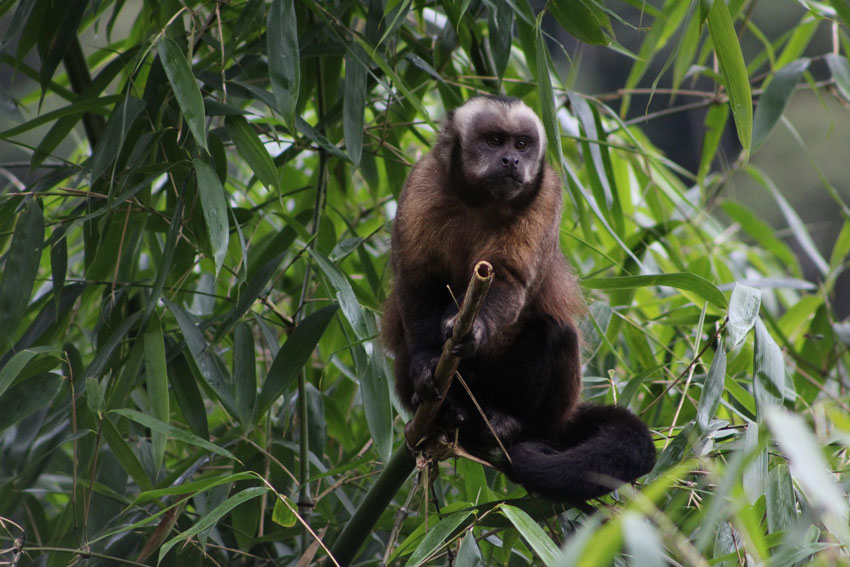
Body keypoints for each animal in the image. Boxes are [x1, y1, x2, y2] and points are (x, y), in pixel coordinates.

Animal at [380, 95, 656, 504]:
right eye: (495, 140)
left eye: (522, 145)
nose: (511, 160)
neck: (481, 200)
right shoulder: (421, 183)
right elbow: (416, 280)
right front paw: (425, 363)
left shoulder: (547, 194)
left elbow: (510, 277)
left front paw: (473, 327)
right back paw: (449, 411)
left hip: (550, 414)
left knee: (556, 333)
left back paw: (508, 423)